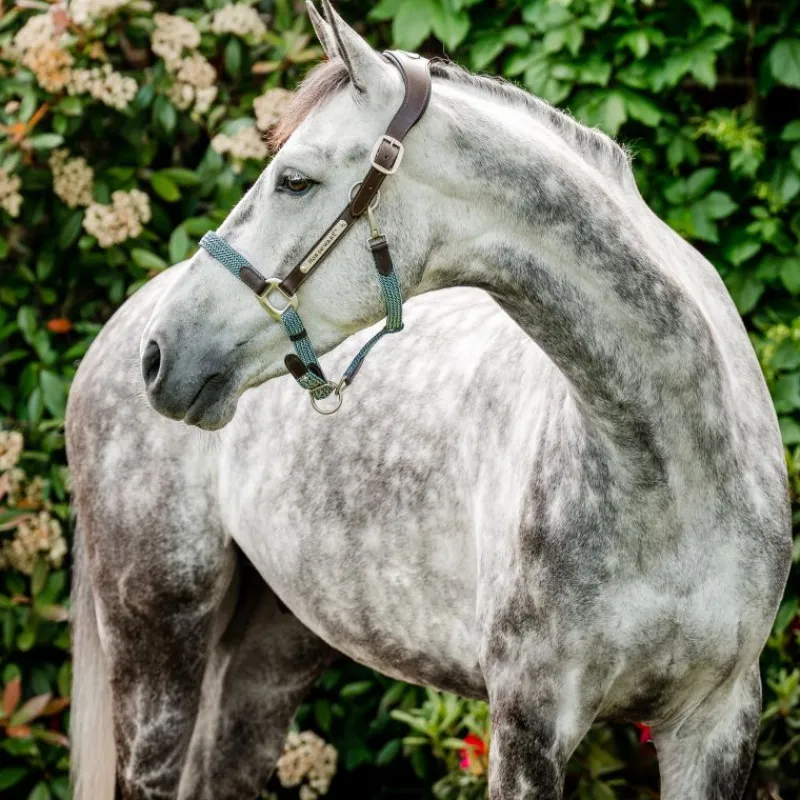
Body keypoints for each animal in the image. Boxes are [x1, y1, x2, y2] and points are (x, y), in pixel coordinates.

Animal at [67, 3, 791, 799]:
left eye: (294, 180)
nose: (161, 355)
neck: (672, 472)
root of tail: (118, 328)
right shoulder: (530, 723)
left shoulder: (716, 724)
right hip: (157, 637)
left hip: (275, 643)